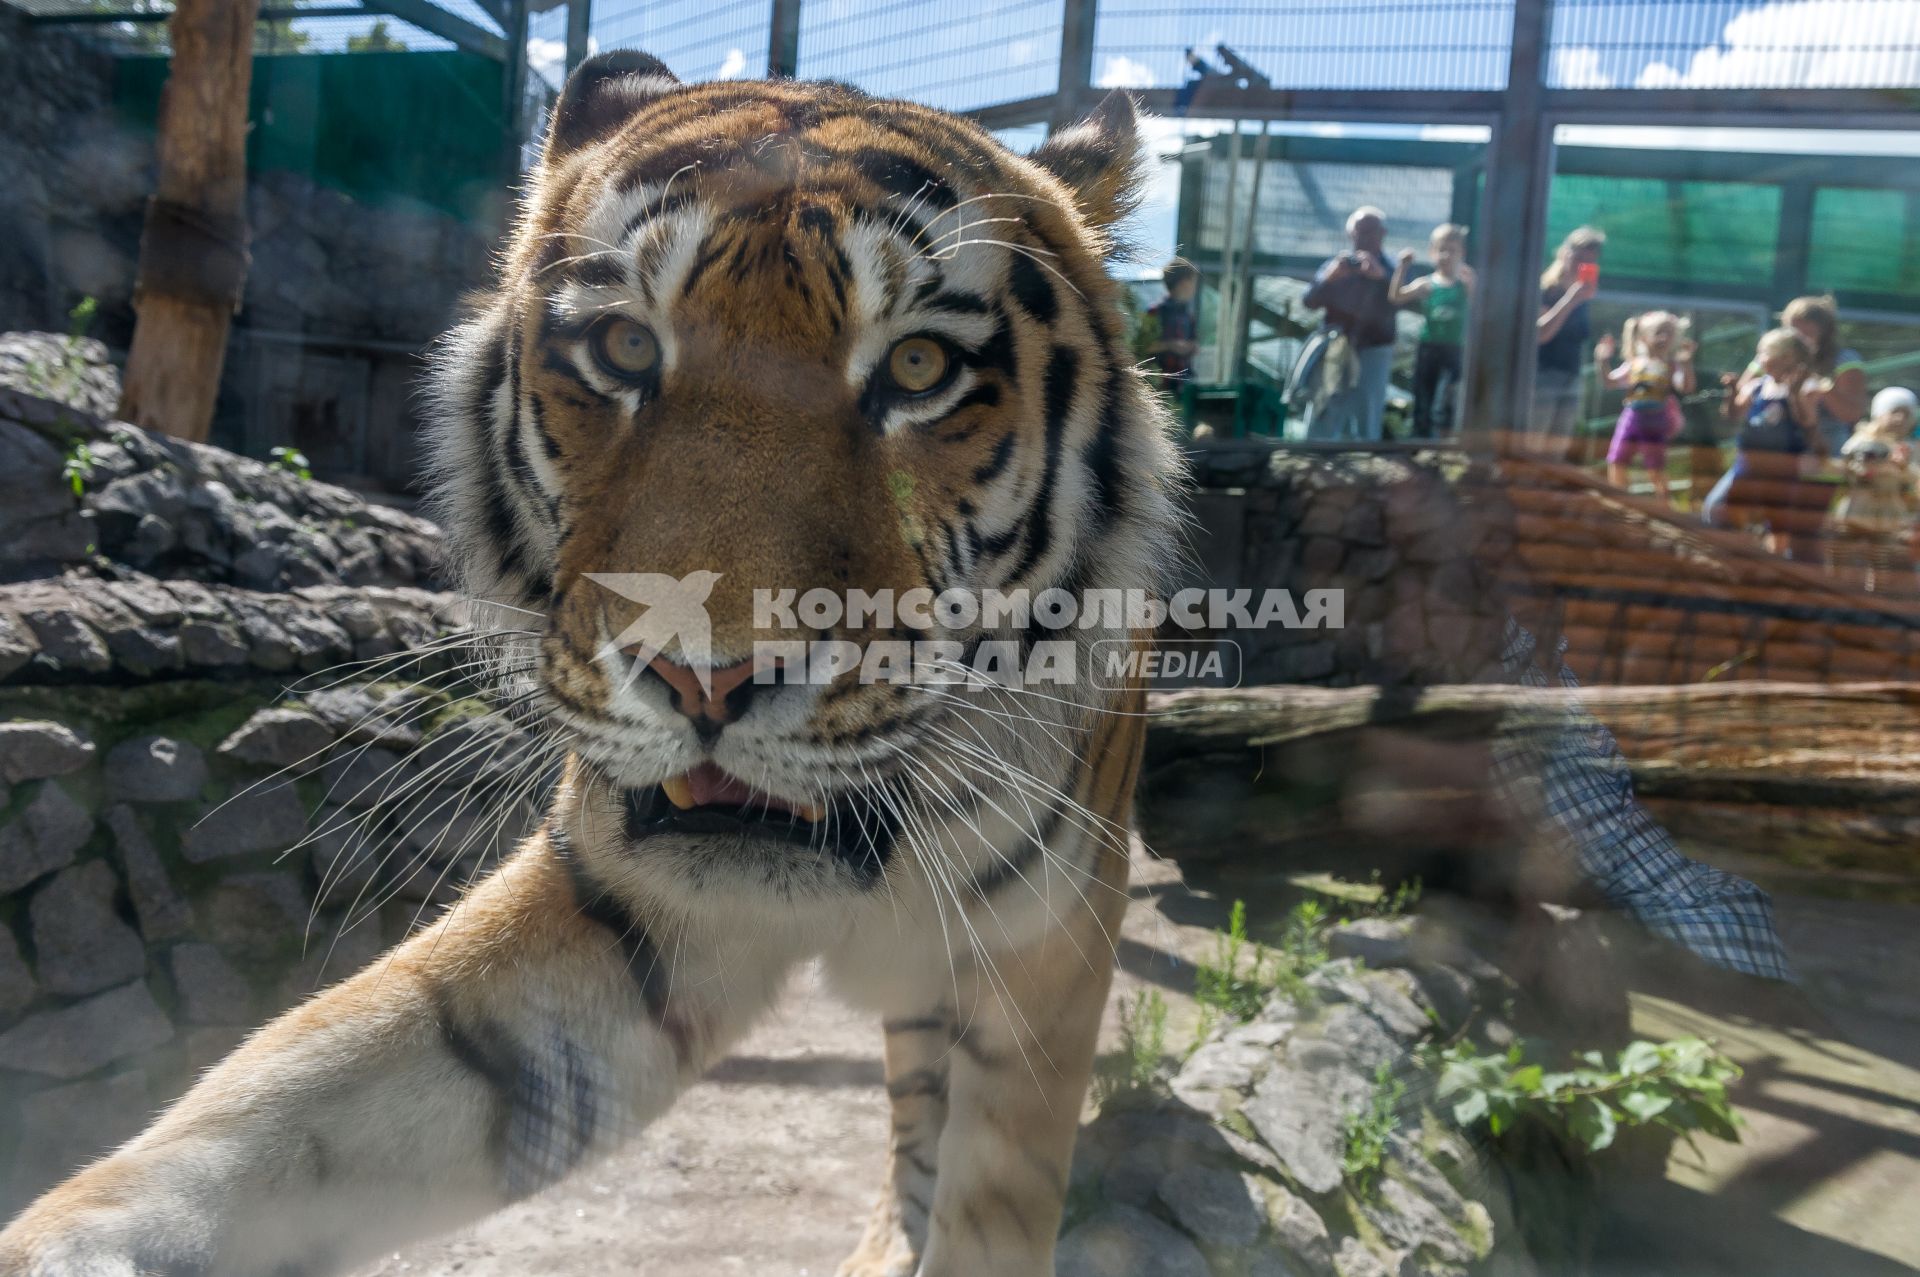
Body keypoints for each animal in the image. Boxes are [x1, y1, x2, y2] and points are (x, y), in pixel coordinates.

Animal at [0, 44, 1182, 1267]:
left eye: (915, 367)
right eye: (623, 348)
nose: (705, 676)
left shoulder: (1048, 946)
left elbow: (994, 1193)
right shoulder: (618, 903)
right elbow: (286, 1102)